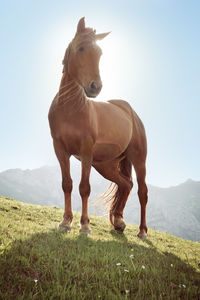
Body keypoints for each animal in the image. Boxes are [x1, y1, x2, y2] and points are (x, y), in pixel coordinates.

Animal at [48, 17, 148, 239]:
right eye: (81, 48)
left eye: (100, 53)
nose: (96, 87)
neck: (71, 109)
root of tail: (130, 112)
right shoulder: (60, 150)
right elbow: (67, 184)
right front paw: (65, 222)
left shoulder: (86, 151)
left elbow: (84, 187)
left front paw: (85, 225)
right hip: (105, 165)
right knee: (126, 185)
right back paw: (118, 221)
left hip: (138, 159)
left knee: (142, 192)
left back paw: (142, 231)